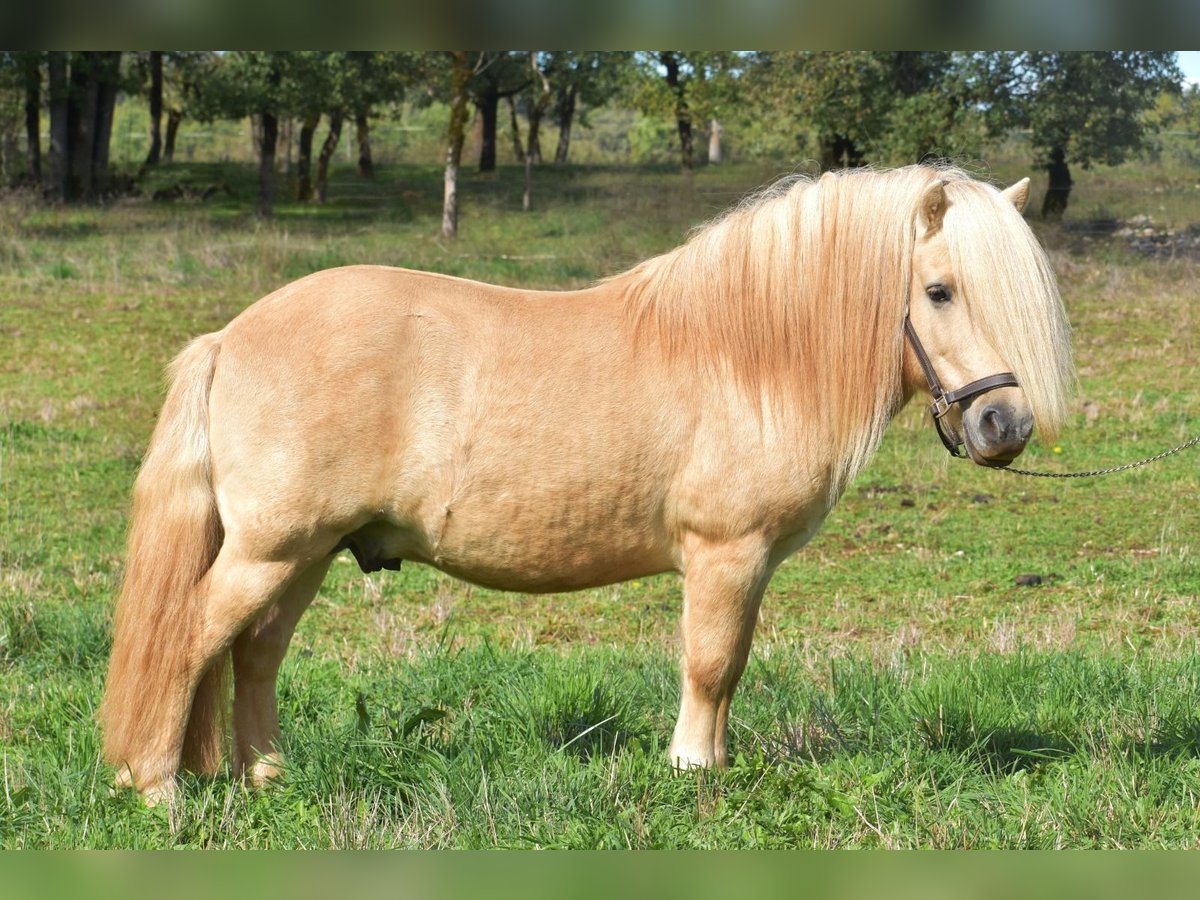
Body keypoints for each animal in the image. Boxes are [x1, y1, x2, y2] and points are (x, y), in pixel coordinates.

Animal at [103, 164, 1075, 801]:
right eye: (940, 290)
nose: (1005, 427)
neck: (750, 357)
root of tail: (229, 337)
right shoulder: (725, 554)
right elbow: (711, 663)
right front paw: (693, 774)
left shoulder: (747, 566)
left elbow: (730, 666)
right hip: (272, 550)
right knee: (189, 639)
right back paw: (158, 789)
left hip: (302, 553)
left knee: (255, 652)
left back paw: (265, 775)